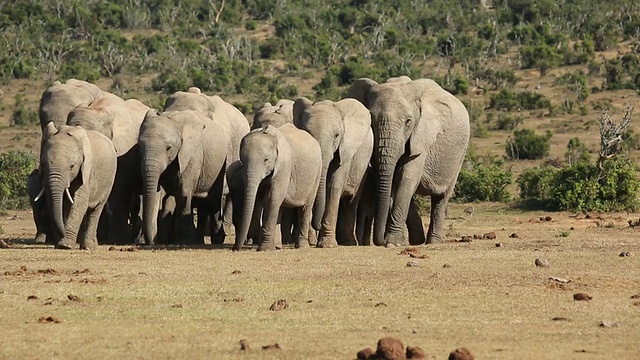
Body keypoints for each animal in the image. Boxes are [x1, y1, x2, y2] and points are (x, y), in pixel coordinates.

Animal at [140, 108, 230, 246]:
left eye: (168, 148)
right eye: (139, 146)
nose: (150, 243)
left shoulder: (193, 154)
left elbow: (183, 192)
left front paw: (183, 242)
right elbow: (157, 193)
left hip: (220, 165)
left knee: (213, 201)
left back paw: (216, 241)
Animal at [292, 97, 372, 246]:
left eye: (336, 135)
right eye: (307, 132)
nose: (317, 225)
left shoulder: (345, 149)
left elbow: (333, 186)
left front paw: (326, 244)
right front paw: (312, 242)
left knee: (351, 201)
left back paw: (349, 242)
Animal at [344, 77, 470, 246]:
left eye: (408, 122)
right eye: (371, 120)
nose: (380, 241)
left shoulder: (421, 136)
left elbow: (406, 178)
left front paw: (392, 243)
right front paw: (398, 242)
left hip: (460, 154)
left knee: (441, 197)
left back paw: (432, 242)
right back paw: (417, 240)